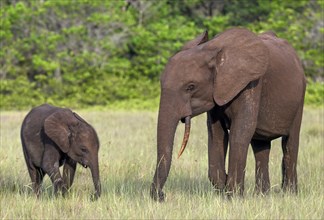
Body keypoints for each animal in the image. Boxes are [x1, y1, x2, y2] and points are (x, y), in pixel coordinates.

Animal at [150, 27, 306, 201]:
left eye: (191, 87)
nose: (162, 196)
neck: (212, 50)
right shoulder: (217, 93)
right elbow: (216, 134)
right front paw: (224, 188)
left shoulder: (250, 84)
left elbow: (241, 132)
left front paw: (233, 196)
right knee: (261, 146)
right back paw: (262, 196)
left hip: (299, 98)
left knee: (290, 143)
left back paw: (290, 194)